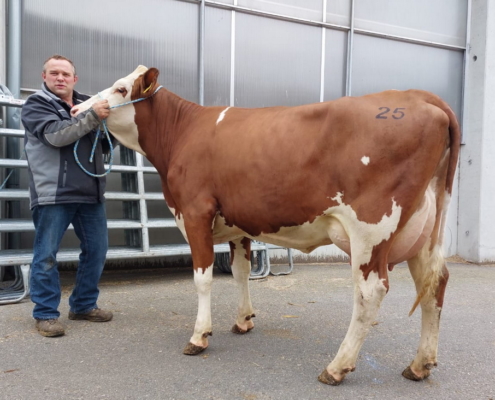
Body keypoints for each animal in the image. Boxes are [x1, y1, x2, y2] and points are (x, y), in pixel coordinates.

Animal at [72, 65, 462, 384]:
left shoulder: (195, 211)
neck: (182, 132)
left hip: (371, 228)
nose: (76, 110)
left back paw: (337, 367)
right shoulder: (237, 224)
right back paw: (420, 365)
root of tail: (418, 96)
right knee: (434, 284)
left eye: (121, 89)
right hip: (424, 231)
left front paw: (199, 335)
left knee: (371, 292)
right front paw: (243, 320)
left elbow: (202, 278)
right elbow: (241, 272)